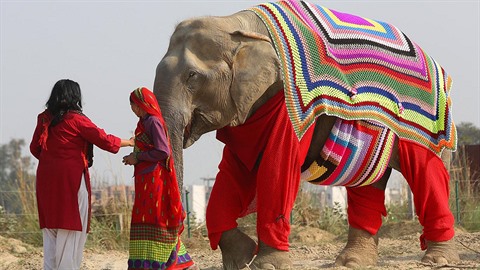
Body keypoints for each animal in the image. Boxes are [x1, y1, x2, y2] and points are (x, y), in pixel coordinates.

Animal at [153, 1, 458, 268]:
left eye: (192, 76)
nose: (178, 260)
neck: (235, 23)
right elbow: (233, 169)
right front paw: (242, 259)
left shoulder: (289, 102)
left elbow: (277, 164)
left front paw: (267, 265)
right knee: (367, 185)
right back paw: (352, 263)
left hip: (429, 124)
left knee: (427, 174)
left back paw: (437, 260)